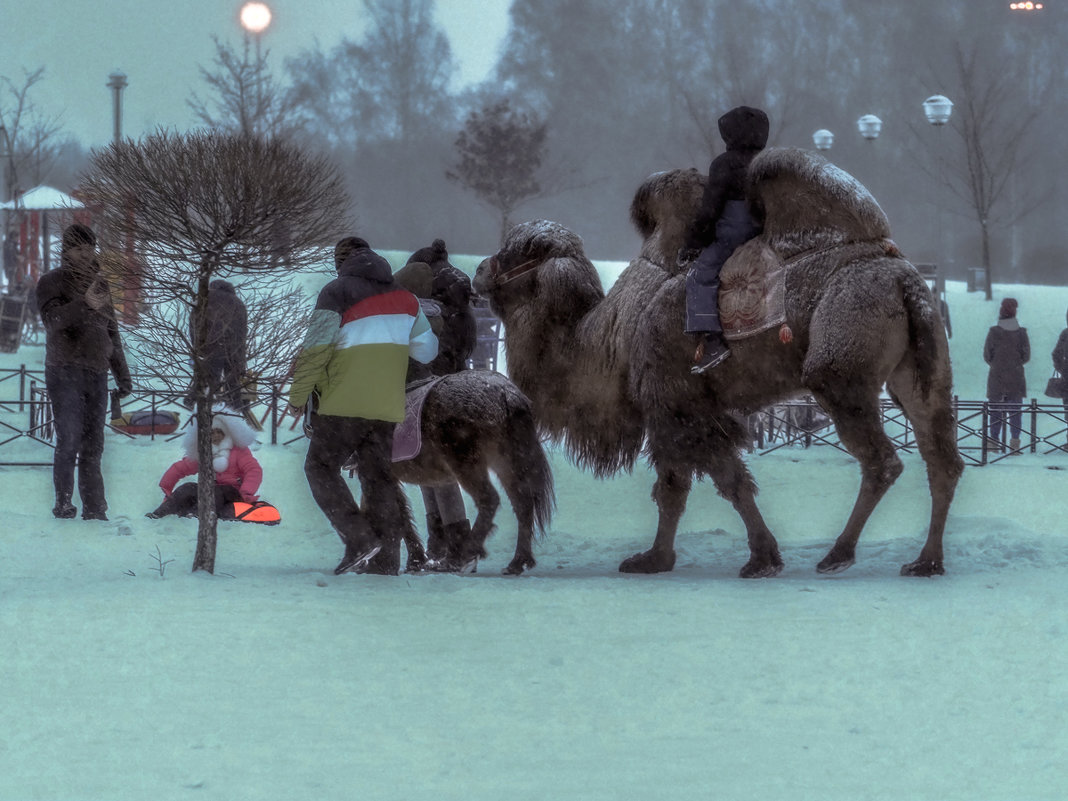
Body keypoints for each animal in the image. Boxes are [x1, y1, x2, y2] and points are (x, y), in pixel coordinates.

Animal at [472, 147, 965, 580]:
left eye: (520, 252)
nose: (478, 271)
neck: (612, 340)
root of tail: (905, 281)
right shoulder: (687, 409)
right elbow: (699, 484)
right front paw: (676, 558)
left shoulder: (677, 405)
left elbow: (700, 484)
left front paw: (738, 559)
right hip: (920, 374)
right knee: (942, 457)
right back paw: (927, 562)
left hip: (840, 370)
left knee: (883, 460)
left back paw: (838, 555)